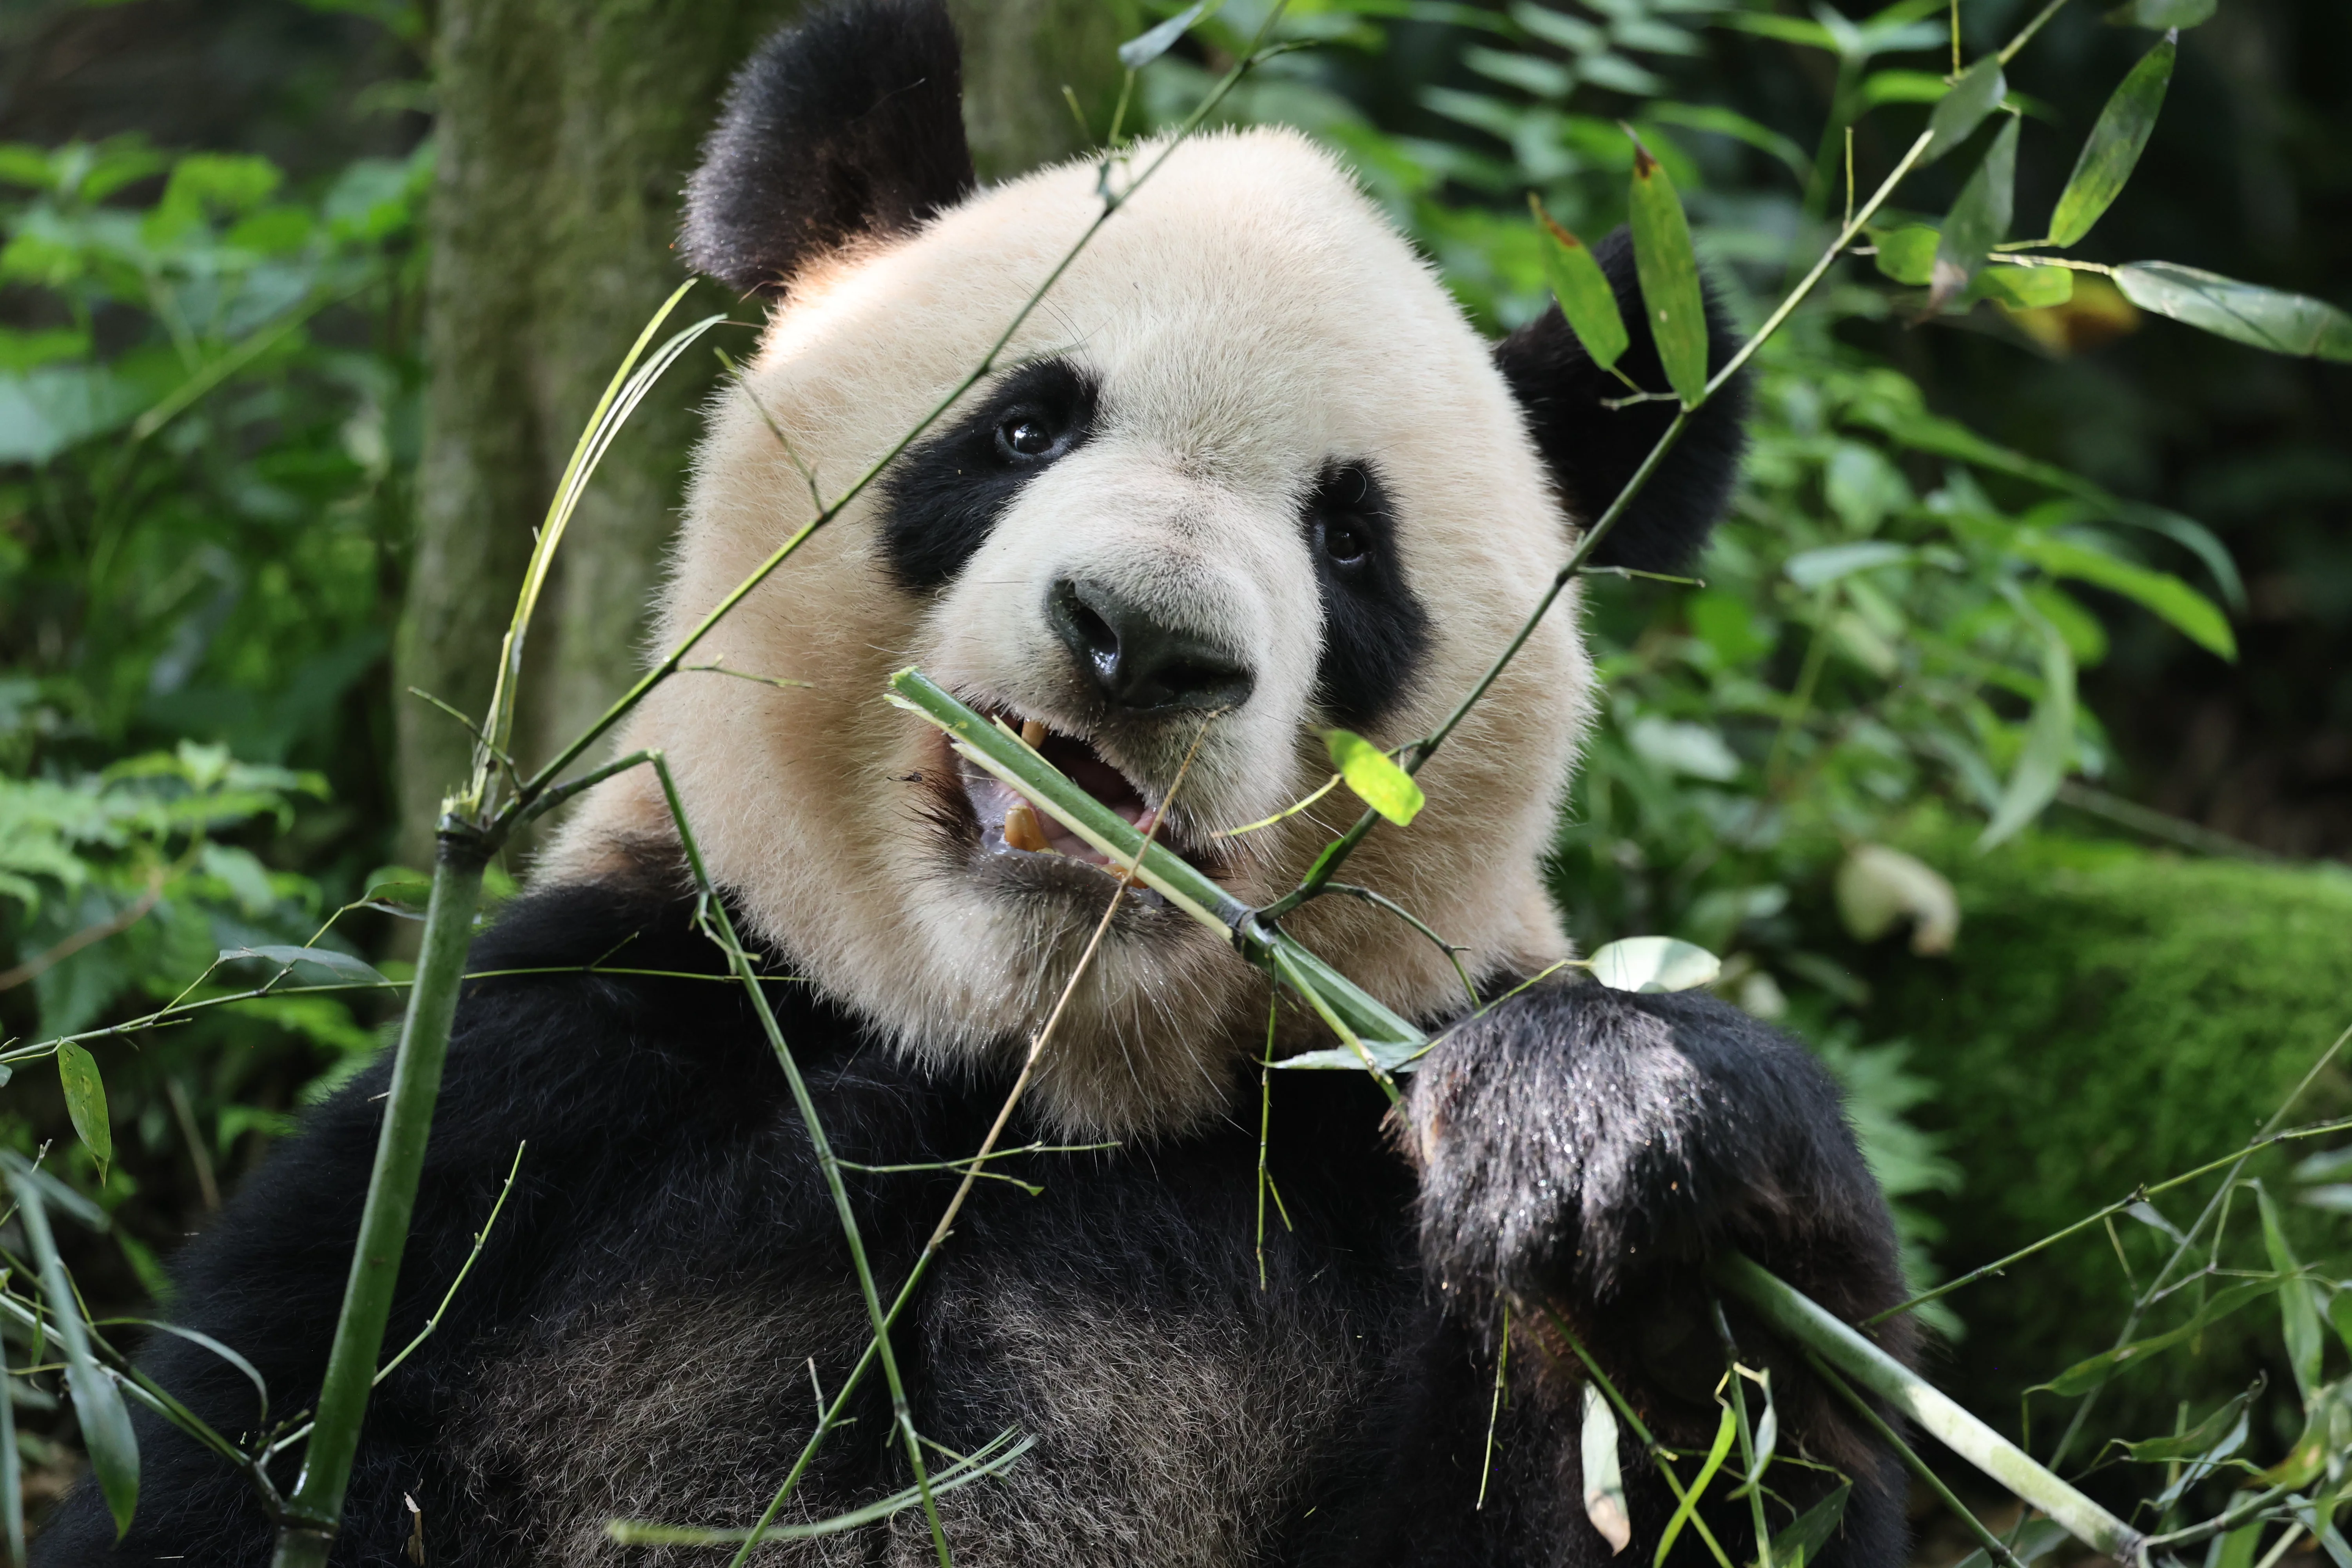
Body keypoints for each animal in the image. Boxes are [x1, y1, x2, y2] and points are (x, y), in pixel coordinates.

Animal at [36, 2, 1914, 1564]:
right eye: (1023, 428)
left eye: (1347, 542)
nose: (1140, 642)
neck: (1011, 1079)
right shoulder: (557, 1103)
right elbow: (236, 1457)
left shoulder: (1350, 1196)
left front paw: (1627, 1181)